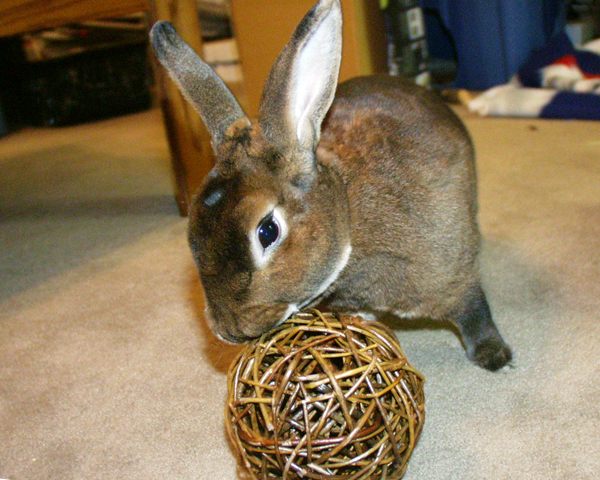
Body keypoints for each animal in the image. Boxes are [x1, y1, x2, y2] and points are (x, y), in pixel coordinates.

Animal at [150, 0, 510, 372]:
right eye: (192, 234)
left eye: (267, 231)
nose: (229, 330)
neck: (349, 216)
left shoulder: (452, 274)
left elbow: (473, 310)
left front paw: (495, 356)